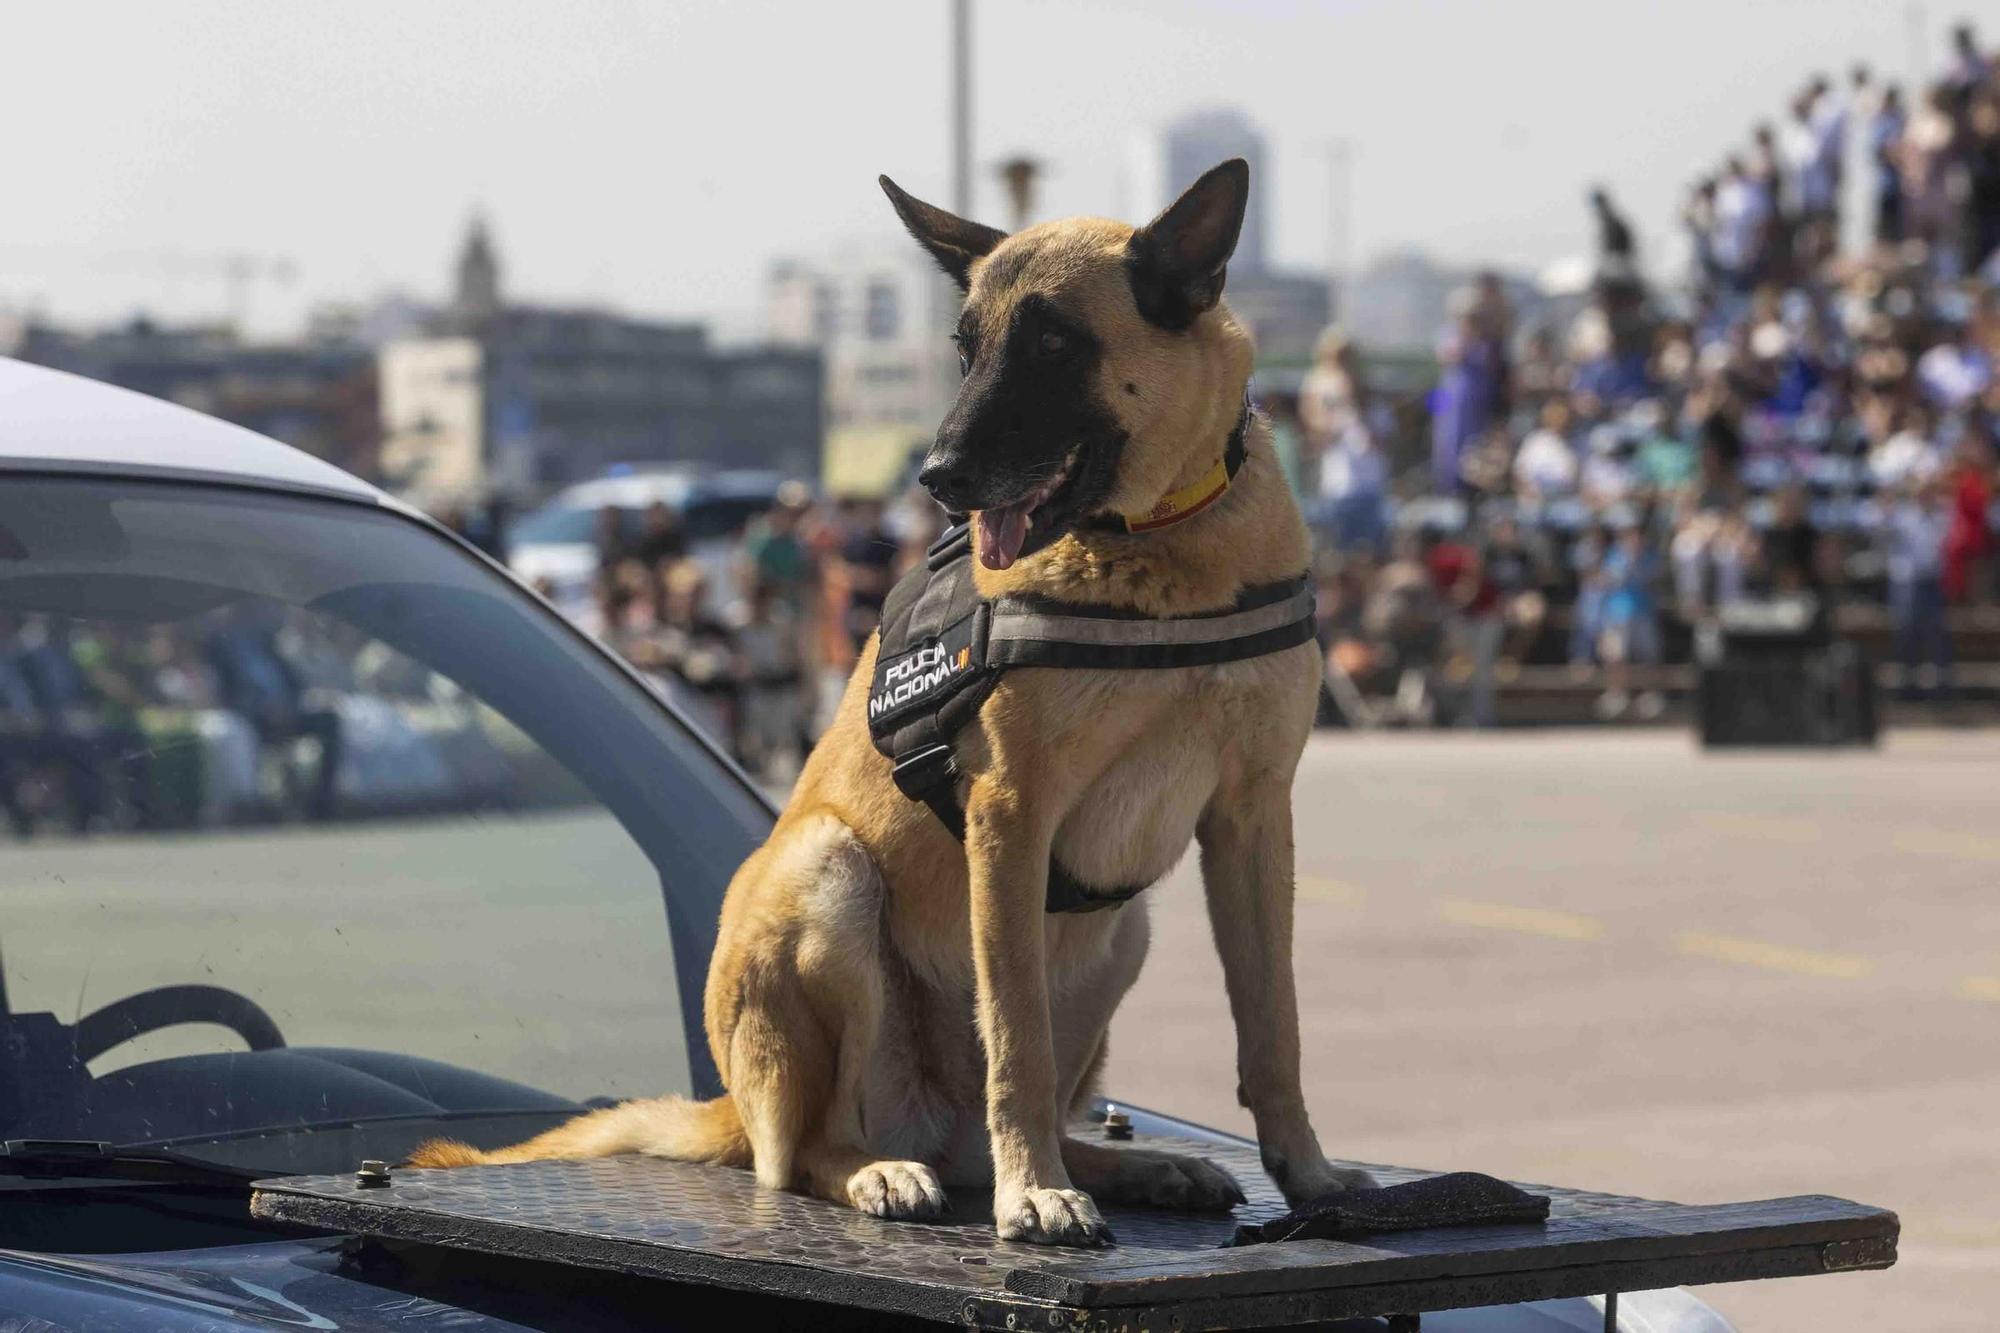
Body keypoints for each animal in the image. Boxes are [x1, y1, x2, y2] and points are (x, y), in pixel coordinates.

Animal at [412, 158, 1368, 1248]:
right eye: (964, 348)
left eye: (1053, 344)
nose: (936, 477)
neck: (1161, 541)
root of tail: (731, 1106)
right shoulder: (1011, 819)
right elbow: (1018, 1040)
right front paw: (1033, 1192)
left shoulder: (1252, 820)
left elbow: (1272, 1026)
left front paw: (1307, 1172)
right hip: (833, 882)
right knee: (805, 1153)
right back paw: (891, 1171)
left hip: (1122, 935)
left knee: (998, 1118)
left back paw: (1121, 1165)